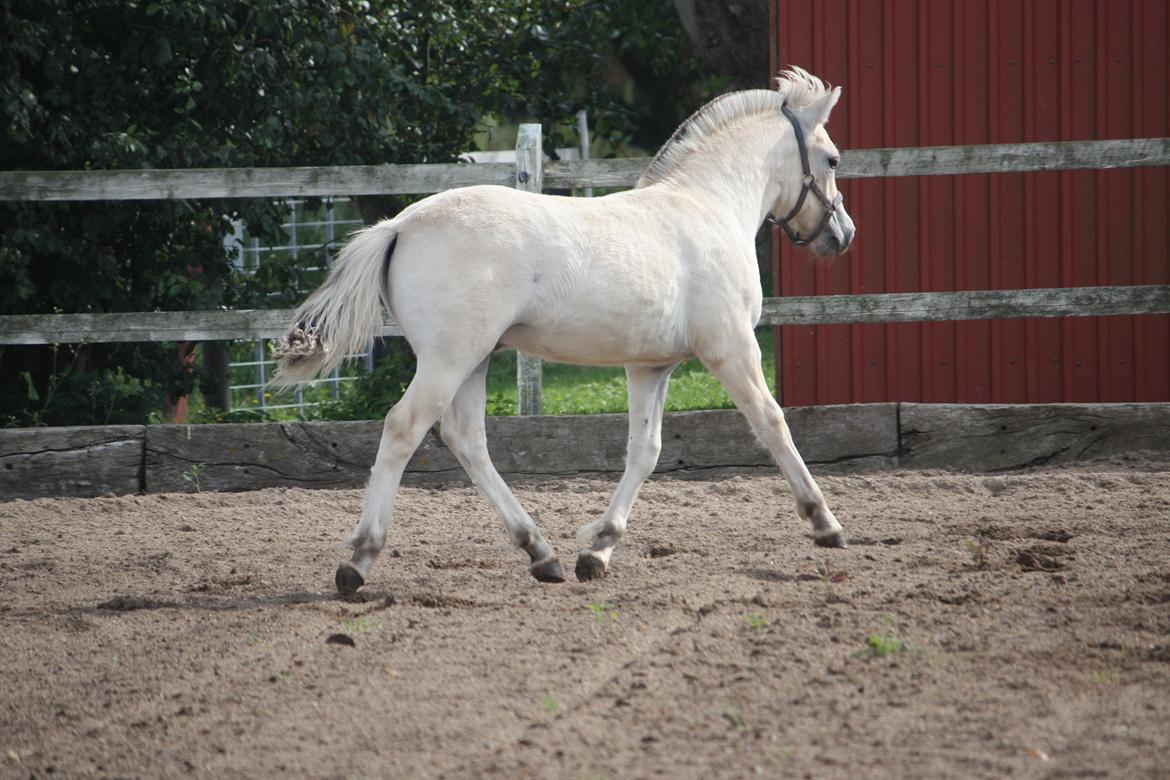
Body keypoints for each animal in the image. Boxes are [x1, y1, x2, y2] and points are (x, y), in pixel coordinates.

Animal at [273, 68, 861, 598]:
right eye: (832, 160)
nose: (843, 234)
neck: (707, 206)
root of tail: (398, 226)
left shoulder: (650, 366)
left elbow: (644, 451)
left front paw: (597, 550)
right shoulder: (731, 349)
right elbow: (772, 423)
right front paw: (825, 523)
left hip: (475, 360)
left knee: (466, 440)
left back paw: (542, 554)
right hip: (448, 359)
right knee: (403, 428)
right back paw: (358, 563)